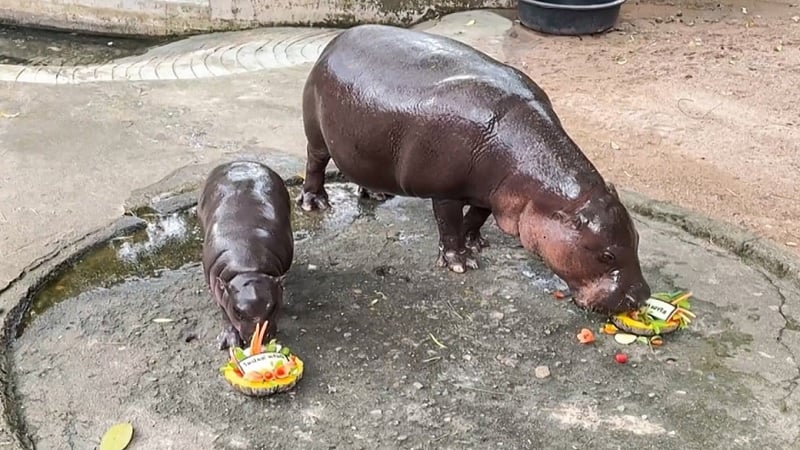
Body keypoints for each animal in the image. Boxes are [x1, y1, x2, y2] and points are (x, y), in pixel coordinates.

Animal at [294, 24, 648, 312]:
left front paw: (475, 242)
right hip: (316, 134)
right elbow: (449, 225)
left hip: (362, 144)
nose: (641, 298)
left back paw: (376, 194)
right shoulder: (445, 191)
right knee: (315, 163)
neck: (541, 186)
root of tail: (335, 41)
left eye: (637, 239)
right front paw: (461, 263)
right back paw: (315, 203)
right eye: (606, 255)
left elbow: (477, 216)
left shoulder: (493, 192)